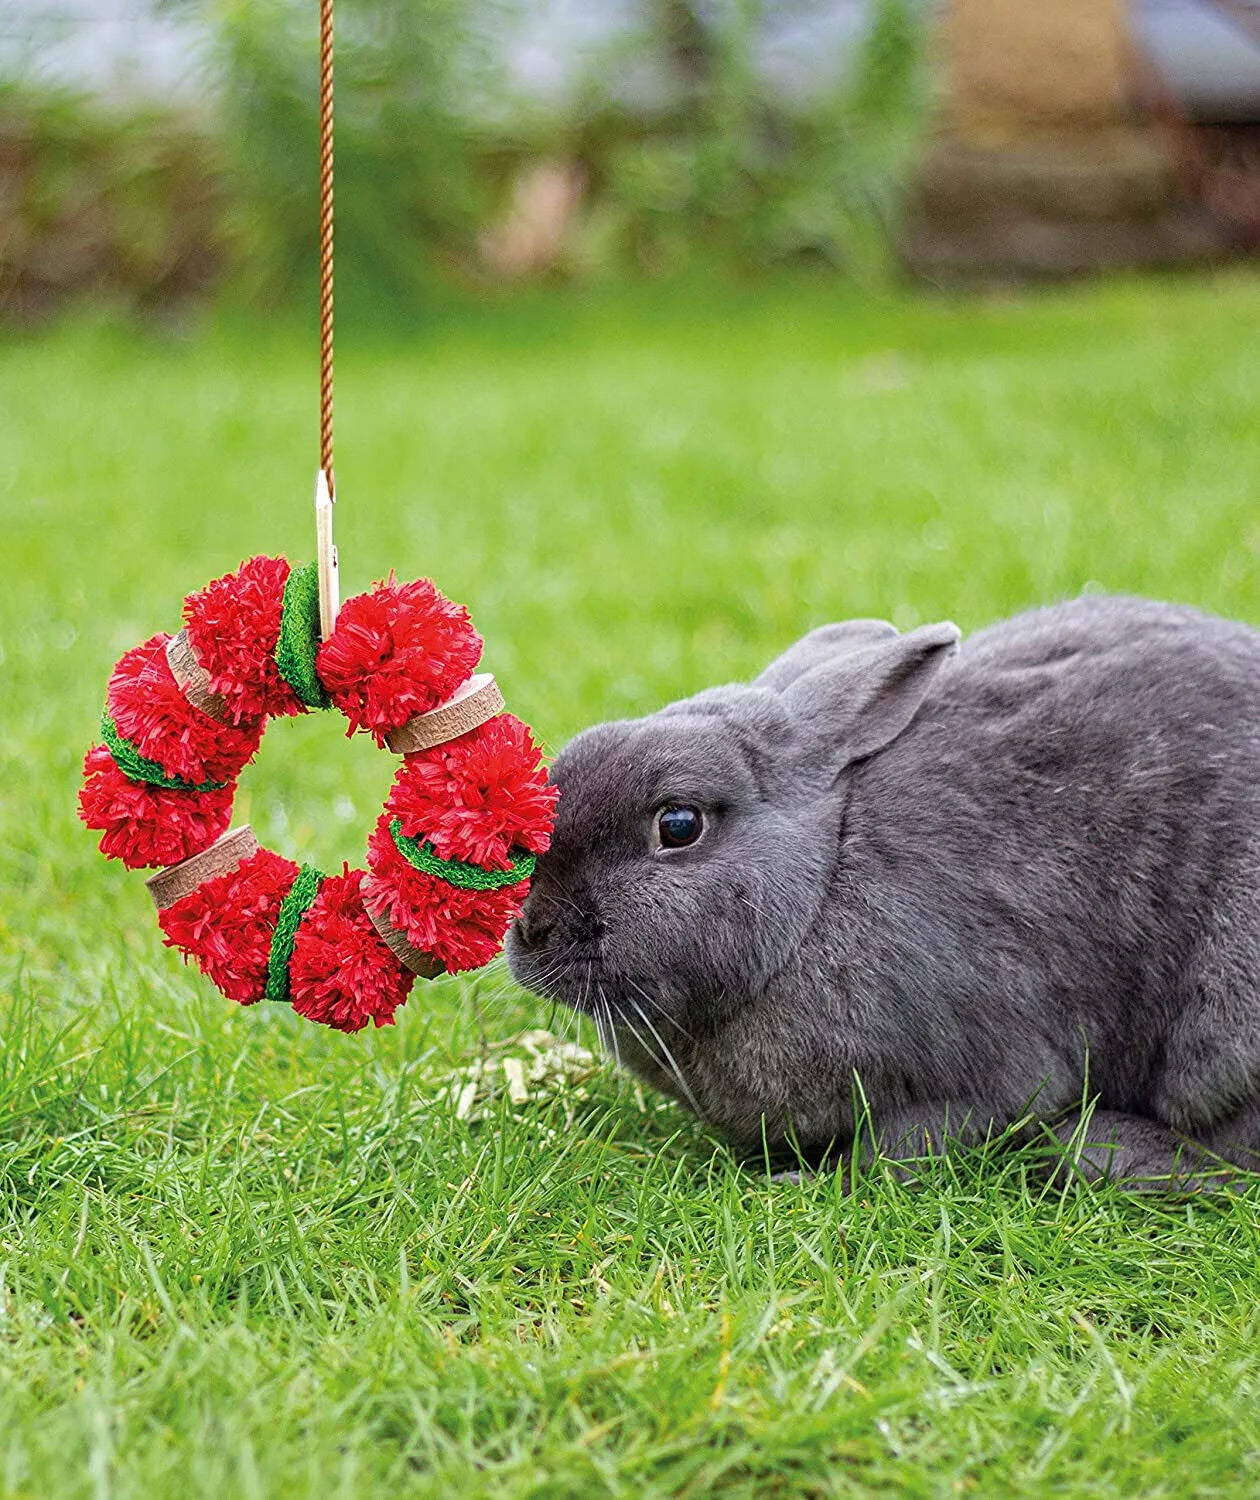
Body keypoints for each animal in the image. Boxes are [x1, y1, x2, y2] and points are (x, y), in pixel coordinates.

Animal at [501, 591, 1260, 1188]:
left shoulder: (982, 1079)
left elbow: (900, 1149)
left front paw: (804, 1184)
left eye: (679, 824)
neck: (818, 891)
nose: (533, 931)